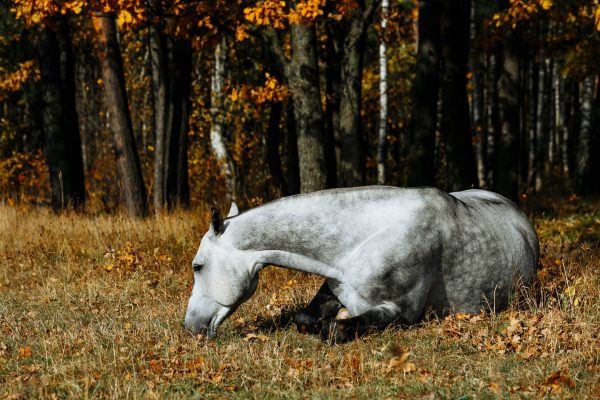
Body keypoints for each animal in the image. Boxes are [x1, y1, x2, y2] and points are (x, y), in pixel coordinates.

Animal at [183, 186, 540, 342]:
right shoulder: (334, 287)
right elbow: (304, 318)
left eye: (197, 267)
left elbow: (336, 328)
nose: (189, 327)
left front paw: (337, 322)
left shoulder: (399, 312)